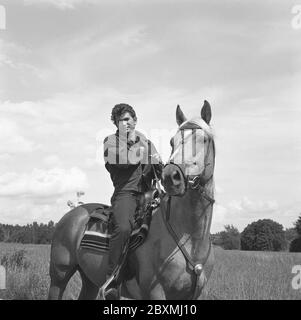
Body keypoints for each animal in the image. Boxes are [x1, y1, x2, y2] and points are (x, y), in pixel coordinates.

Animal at [48, 100, 214, 300]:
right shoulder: (155, 292)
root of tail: (72, 214)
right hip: (59, 276)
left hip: (89, 280)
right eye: (172, 141)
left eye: (204, 139)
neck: (189, 238)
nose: (170, 176)